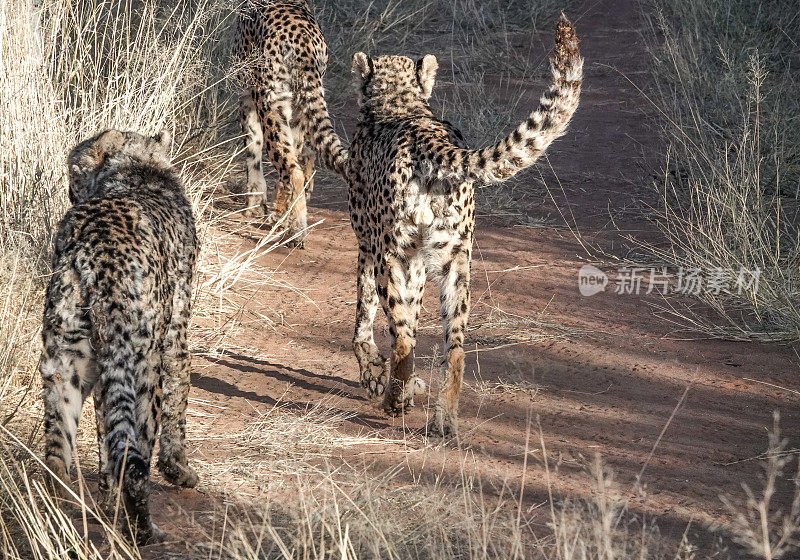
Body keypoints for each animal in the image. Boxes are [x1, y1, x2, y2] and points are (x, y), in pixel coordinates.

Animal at [42, 130, 202, 544]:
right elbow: (179, 398)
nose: (69, 188)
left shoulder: (98, 364)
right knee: (135, 456)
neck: (134, 168)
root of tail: (95, 246)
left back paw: (54, 518)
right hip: (142, 363)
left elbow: (103, 430)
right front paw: (180, 470)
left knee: (56, 454)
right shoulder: (174, 338)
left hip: (66, 360)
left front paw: (104, 495)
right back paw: (144, 529)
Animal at [239, 0, 348, 247]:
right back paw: (287, 220)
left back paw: (296, 231)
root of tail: (303, 40)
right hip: (297, 108)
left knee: (291, 171)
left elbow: (252, 150)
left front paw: (254, 200)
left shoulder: (248, 97)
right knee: (294, 162)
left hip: (272, 106)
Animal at [346, 12, 584, 434]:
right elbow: (410, 317)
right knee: (454, 347)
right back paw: (443, 417)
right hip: (456, 262)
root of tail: (427, 136)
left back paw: (394, 401)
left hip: (392, 256)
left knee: (403, 340)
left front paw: (374, 375)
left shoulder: (371, 248)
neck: (401, 104)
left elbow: (365, 314)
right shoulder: (419, 260)